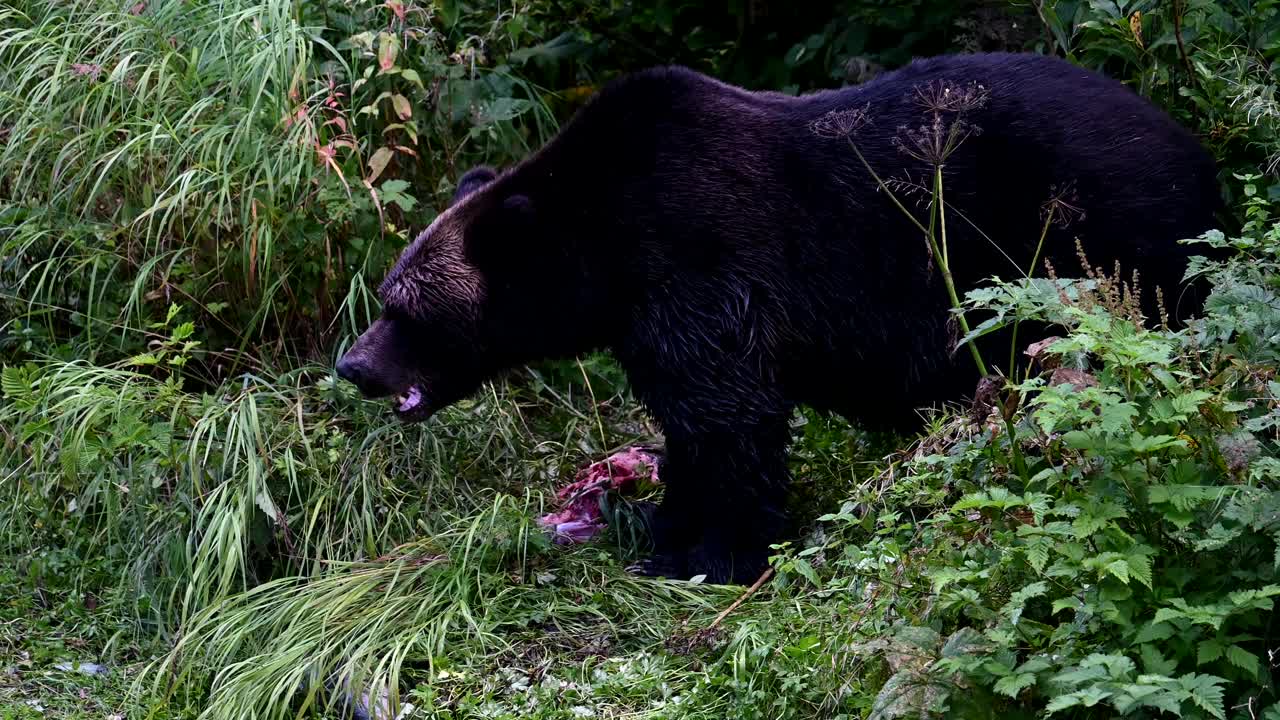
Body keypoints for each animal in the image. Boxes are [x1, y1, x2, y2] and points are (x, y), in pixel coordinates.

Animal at [337, 54, 1218, 584]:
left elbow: (729, 419)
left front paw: (714, 552)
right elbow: (692, 427)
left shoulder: (703, 264)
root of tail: (1193, 146)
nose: (352, 363)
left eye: (401, 306)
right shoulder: (650, 319)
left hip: (1094, 245)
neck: (603, 256)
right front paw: (664, 529)